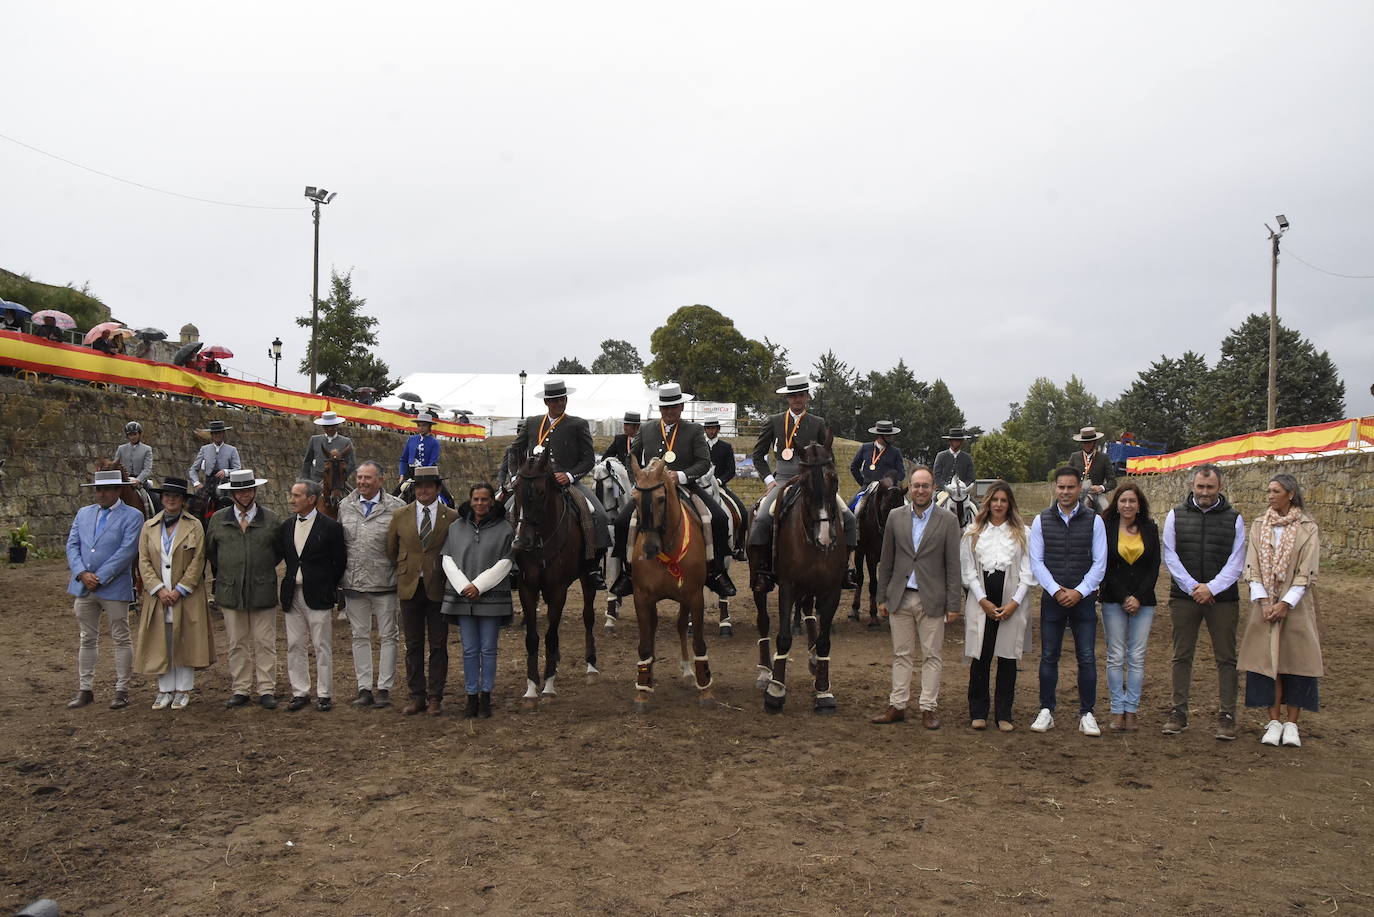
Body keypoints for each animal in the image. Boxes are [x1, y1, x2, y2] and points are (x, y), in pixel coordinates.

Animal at [511, 448, 596, 709]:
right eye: (514, 488)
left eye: (540, 491)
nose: (521, 542)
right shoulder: (527, 588)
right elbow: (532, 637)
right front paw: (531, 688)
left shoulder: (558, 590)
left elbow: (550, 636)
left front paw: (548, 686)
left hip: (587, 579)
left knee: (588, 617)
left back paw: (591, 666)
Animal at [629, 456, 714, 709]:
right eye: (634, 499)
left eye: (660, 498)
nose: (649, 548)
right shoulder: (642, 597)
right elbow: (645, 642)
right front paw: (643, 690)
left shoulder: (694, 596)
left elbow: (698, 641)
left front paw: (706, 690)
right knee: (655, 628)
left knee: (680, 625)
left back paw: (688, 672)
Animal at [747, 445, 840, 714]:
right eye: (805, 484)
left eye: (835, 480)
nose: (825, 538)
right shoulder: (788, 586)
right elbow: (784, 637)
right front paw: (775, 692)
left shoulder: (832, 590)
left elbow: (824, 641)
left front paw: (823, 691)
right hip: (760, 583)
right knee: (763, 621)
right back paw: (765, 671)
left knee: (808, 612)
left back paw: (812, 658)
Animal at [840, 472, 906, 632]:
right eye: (885, 508)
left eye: (901, 507)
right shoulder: (871, 556)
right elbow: (873, 585)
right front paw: (874, 617)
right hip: (859, 553)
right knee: (860, 578)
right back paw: (854, 610)